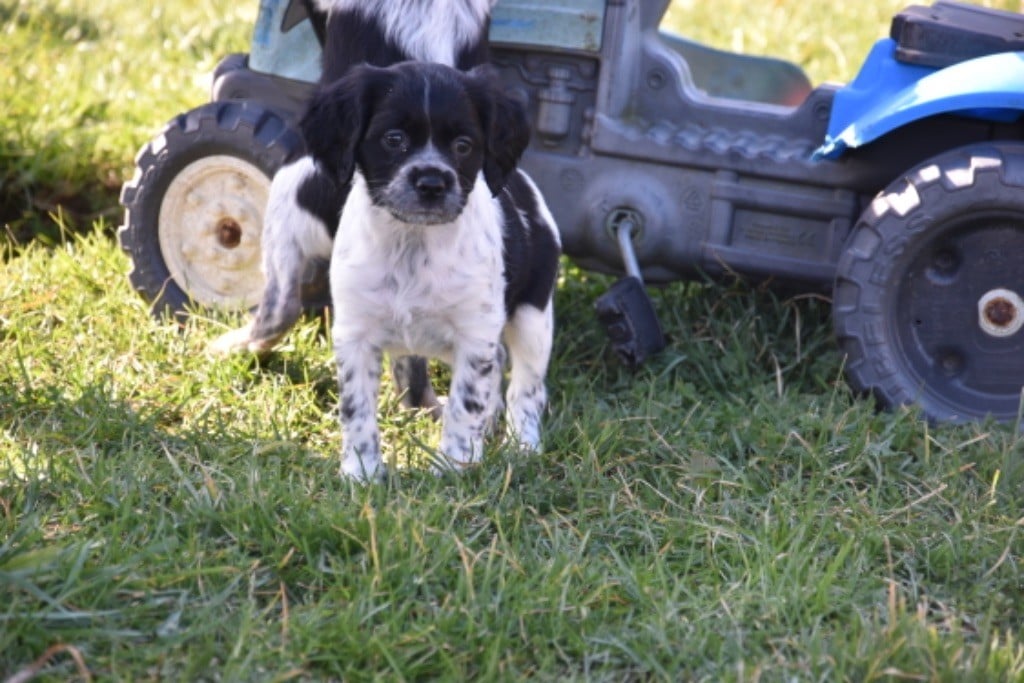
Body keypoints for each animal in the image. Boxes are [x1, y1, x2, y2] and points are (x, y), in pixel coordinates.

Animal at [299, 62, 565, 481]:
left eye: (463, 145)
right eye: (393, 139)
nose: (431, 183)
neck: (413, 243)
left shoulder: (474, 333)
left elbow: (465, 404)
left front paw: (455, 467)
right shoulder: (355, 333)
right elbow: (356, 410)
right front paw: (362, 473)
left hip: (532, 318)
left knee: (526, 388)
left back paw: (523, 446)